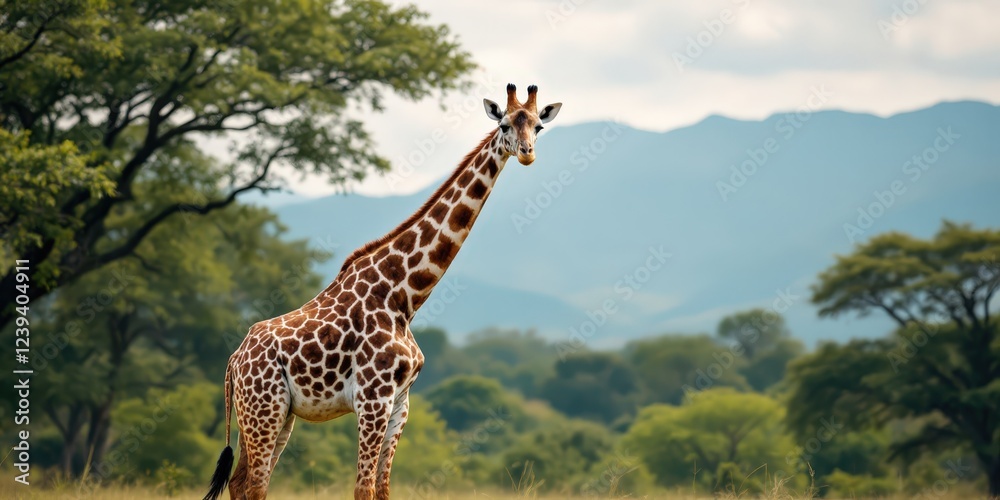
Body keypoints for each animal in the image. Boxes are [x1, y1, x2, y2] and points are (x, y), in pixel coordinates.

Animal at [203, 83, 562, 500]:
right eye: (504, 124)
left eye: (538, 126)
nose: (526, 153)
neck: (403, 296)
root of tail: (234, 360)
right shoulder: (373, 398)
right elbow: (363, 489)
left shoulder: (400, 402)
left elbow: (383, 489)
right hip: (264, 408)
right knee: (255, 485)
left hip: (276, 414)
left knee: (241, 481)